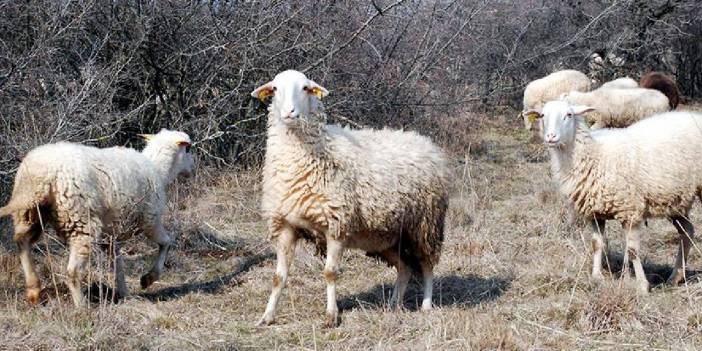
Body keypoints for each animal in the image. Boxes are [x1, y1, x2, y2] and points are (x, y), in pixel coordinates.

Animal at [0, 130, 195, 308]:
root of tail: (42, 174)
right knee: (72, 271)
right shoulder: (150, 220)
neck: (158, 170)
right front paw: (148, 279)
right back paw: (82, 307)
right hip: (80, 220)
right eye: (188, 149)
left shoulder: (111, 235)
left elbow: (117, 263)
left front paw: (124, 293)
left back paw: (33, 289)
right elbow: (166, 242)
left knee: (22, 241)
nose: (192, 169)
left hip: (28, 213)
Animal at [253, 70, 452, 328]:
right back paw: (393, 305)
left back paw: (426, 305)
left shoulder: (336, 224)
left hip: (424, 224)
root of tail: (425, 142)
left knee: (427, 264)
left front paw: (331, 317)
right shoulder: (285, 225)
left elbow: (330, 273)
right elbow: (278, 277)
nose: (289, 112)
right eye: (275, 88)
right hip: (385, 236)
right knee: (406, 268)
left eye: (306, 88)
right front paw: (267, 316)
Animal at [528, 101, 702, 294]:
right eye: (542, 115)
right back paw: (675, 277)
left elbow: (632, 250)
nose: (551, 136)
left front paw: (641, 286)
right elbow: (596, 244)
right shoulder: (595, 214)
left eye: (569, 114)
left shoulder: (630, 211)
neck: (596, 155)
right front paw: (597, 277)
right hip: (674, 200)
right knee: (687, 231)